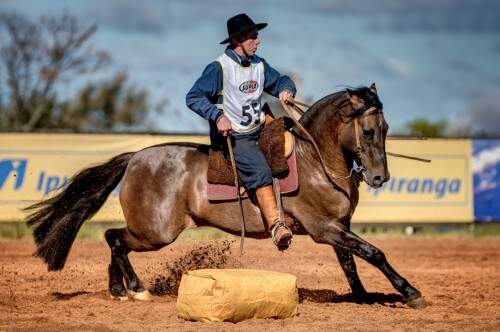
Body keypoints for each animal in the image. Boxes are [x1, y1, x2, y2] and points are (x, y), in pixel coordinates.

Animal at [25, 83, 428, 308]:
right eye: (370, 130)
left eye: (387, 128)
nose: (379, 177)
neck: (315, 159)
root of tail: (135, 158)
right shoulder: (323, 228)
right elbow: (373, 253)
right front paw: (409, 292)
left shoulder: (338, 226)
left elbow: (351, 263)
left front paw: (363, 297)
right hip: (155, 232)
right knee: (115, 239)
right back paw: (136, 289)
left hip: (149, 231)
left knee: (114, 242)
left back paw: (118, 290)